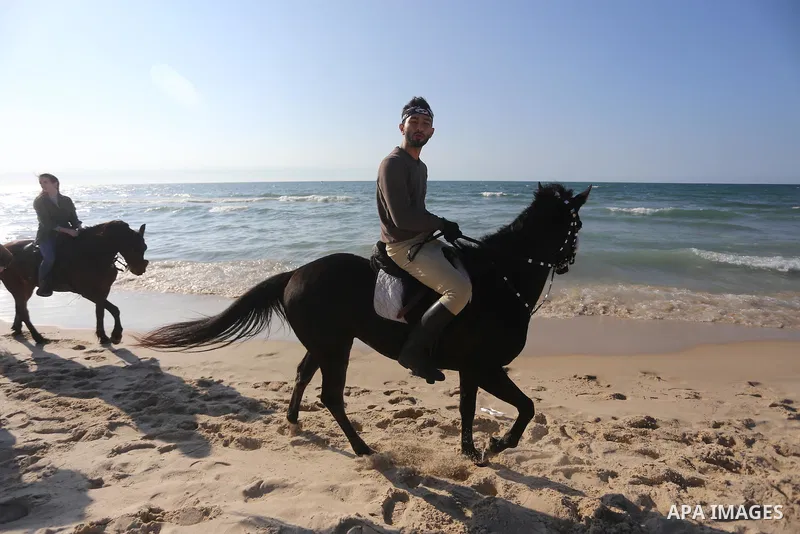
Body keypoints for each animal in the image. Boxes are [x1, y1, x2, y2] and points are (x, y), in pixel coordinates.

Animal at [0, 220, 150, 345]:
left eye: (144, 247)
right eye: (133, 248)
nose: (140, 269)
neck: (93, 254)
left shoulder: (103, 290)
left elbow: (103, 311)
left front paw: (108, 335)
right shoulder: (87, 292)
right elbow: (110, 309)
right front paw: (112, 335)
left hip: (26, 287)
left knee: (20, 308)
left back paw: (17, 329)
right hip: (17, 287)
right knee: (23, 311)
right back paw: (38, 337)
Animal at [137, 183, 591, 464]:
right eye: (578, 224)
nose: (570, 261)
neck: (502, 278)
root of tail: (295, 273)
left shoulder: (473, 370)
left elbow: (470, 409)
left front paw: (472, 450)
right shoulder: (486, 367)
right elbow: (526, 407)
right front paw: (497, 444)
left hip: (324, 344)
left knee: (302, 375)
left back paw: (294, 422)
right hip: (336, 347)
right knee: (331, 396)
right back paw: (362, 447)